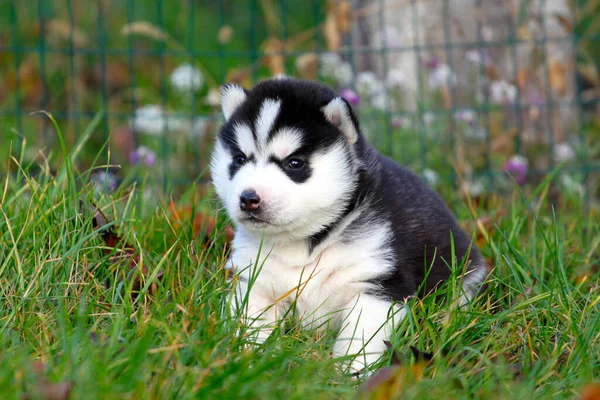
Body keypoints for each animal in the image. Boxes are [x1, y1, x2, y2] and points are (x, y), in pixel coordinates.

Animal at [211, 79, 488, 376]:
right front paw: (245, 362)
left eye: (295, 163)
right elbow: (250, 323)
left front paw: (350, 374)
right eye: (239, 159)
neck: (305, 243)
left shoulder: (378, 283)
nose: (248, 198)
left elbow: (360, 337)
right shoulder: (254, 280)